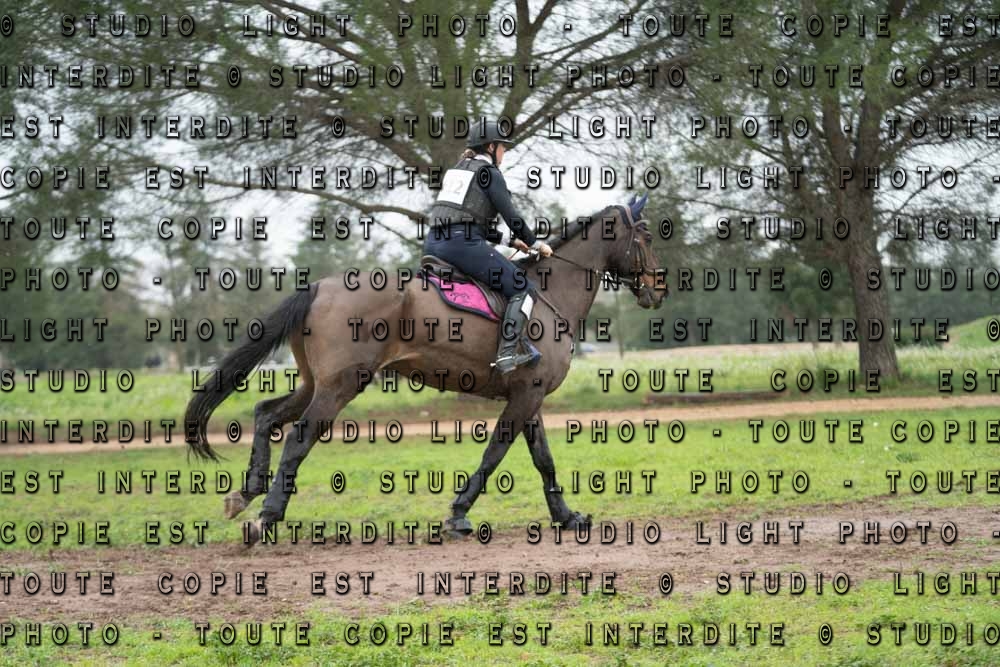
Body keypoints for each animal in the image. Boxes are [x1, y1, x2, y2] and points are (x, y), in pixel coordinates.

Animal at [183, 201, 667, 540]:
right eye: (644, 236)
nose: (658, 290)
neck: (551, 296)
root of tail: (319, 286)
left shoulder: (530, 396)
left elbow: (543, 459)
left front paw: (567, 518)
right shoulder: (525, 396)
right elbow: (495, 454)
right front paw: (458, 515)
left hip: (315, 382)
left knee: (266, 414)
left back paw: (245, 495)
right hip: (340, 386)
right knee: (298, 438)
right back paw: (266, 517)